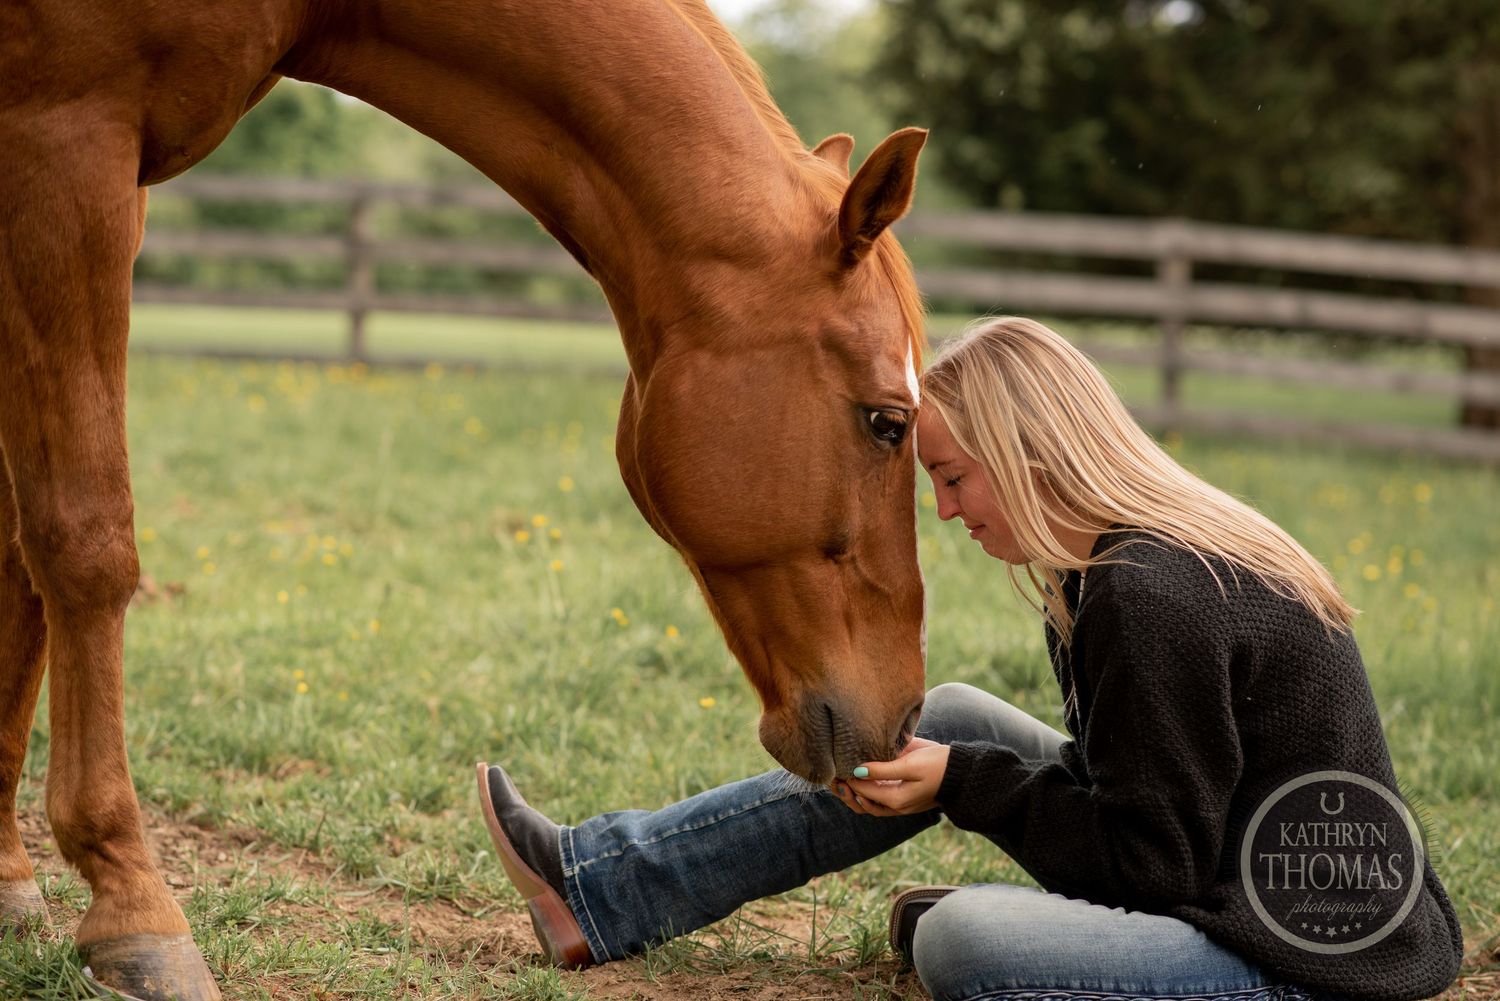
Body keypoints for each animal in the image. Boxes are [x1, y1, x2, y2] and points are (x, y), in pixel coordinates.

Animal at [0, 1, 929, 996]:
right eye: (888, 421)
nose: (909, 716)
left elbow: (18, 557)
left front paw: (11, 880)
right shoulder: (67, 147)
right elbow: (83, 539)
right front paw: (132, 906)